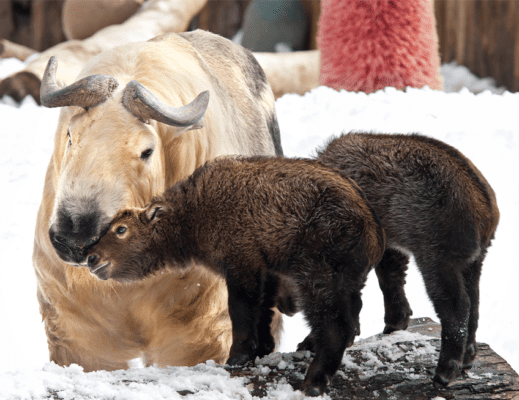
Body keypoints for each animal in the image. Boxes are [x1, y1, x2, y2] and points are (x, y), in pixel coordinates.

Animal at [86, 155, 386, 394]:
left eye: (121, 229)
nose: (91, 258)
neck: (192, 213)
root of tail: (371, 225)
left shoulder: (241, 263)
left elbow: (240, 311)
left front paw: (238, 356)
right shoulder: (266, 268)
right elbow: (263, 311)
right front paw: (262, 348)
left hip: (317, 276)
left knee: (335, 326)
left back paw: (314, 380)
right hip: (345, 281)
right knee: (352, 315)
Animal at [316, 133, 500, 386]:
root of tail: (485, 208)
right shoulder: (390, 243)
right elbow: (391, 278)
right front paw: (396, 322)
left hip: (438, 259)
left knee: (457, 307)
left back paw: (446, 370)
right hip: (472, 262)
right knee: (474, 301)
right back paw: (468, 357)